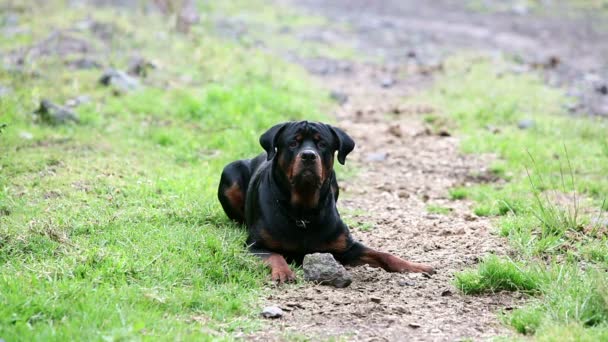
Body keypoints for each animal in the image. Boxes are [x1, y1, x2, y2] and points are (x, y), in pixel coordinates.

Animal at [216, 121, 434, 284]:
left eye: (322, 145)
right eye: (293, 143)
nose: (308, 155)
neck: (302, 212)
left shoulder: (346, 248)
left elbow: (384, 255)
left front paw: (414, 266)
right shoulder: (255, 246)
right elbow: (275, 256)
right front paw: (283, 272)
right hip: (229, 172)